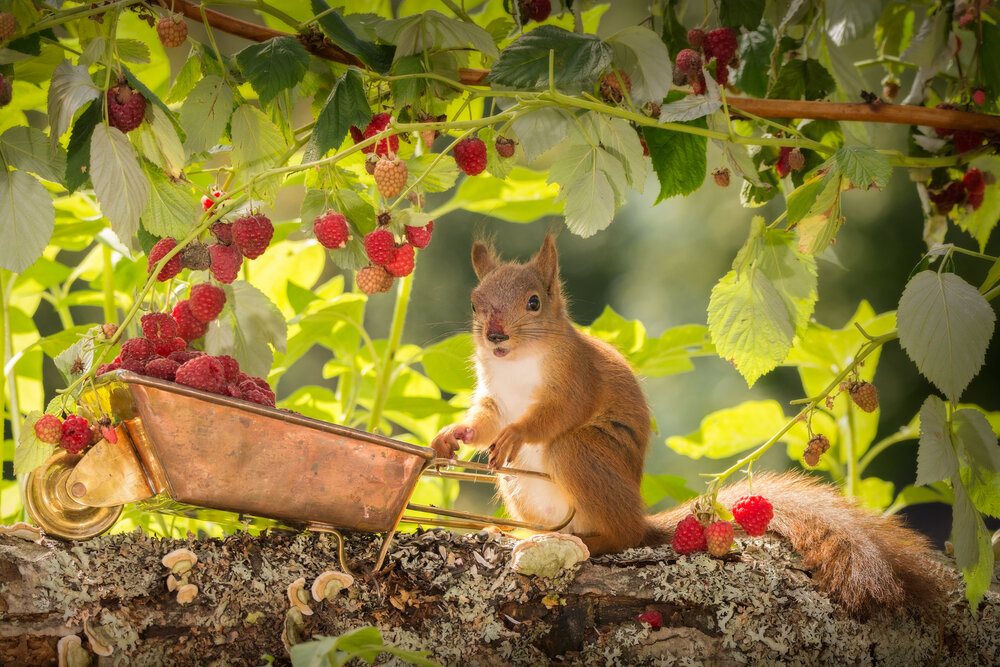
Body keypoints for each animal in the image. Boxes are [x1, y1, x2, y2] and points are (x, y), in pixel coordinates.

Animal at [430, 237, 944, 620]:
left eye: (534, 302)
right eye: (474, 304)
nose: (495, 335)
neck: (517, 364)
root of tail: (636, 515)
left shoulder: (577, 379)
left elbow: (553, 415)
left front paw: (516, 434)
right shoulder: (494, 396)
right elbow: (484, 421)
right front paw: (451, 437)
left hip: (579, 453)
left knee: (622, 534)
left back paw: (594, 542)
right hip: (520, 488)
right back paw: (513, 534)